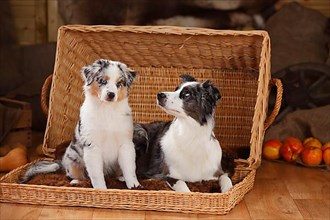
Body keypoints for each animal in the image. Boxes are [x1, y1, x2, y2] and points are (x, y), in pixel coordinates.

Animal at [20, 59, 139, 190]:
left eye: (119, 83)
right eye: (102, 81)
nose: (111, 94)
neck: (107, 110)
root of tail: (61, 162)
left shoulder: (126, 143)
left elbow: (129, 167)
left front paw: (134, 185)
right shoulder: (92, 146)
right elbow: (96, 174)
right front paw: (101, 189)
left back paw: (120, 177)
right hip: (72, 159)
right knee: (76, 176)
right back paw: (76, 182)